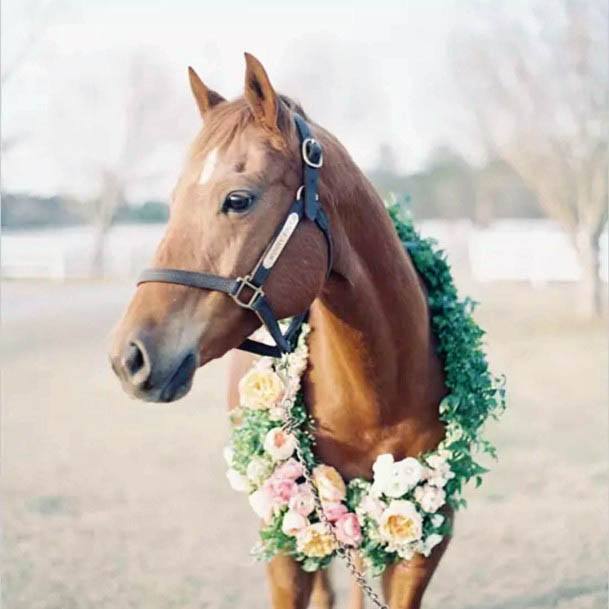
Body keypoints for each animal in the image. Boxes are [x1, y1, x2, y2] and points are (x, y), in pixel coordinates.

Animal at [110, 52, 452, 608]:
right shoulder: (286, 543)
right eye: (174, 199)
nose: (128, 357)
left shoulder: (422, 548)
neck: (378, 398)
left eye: (238, 200)